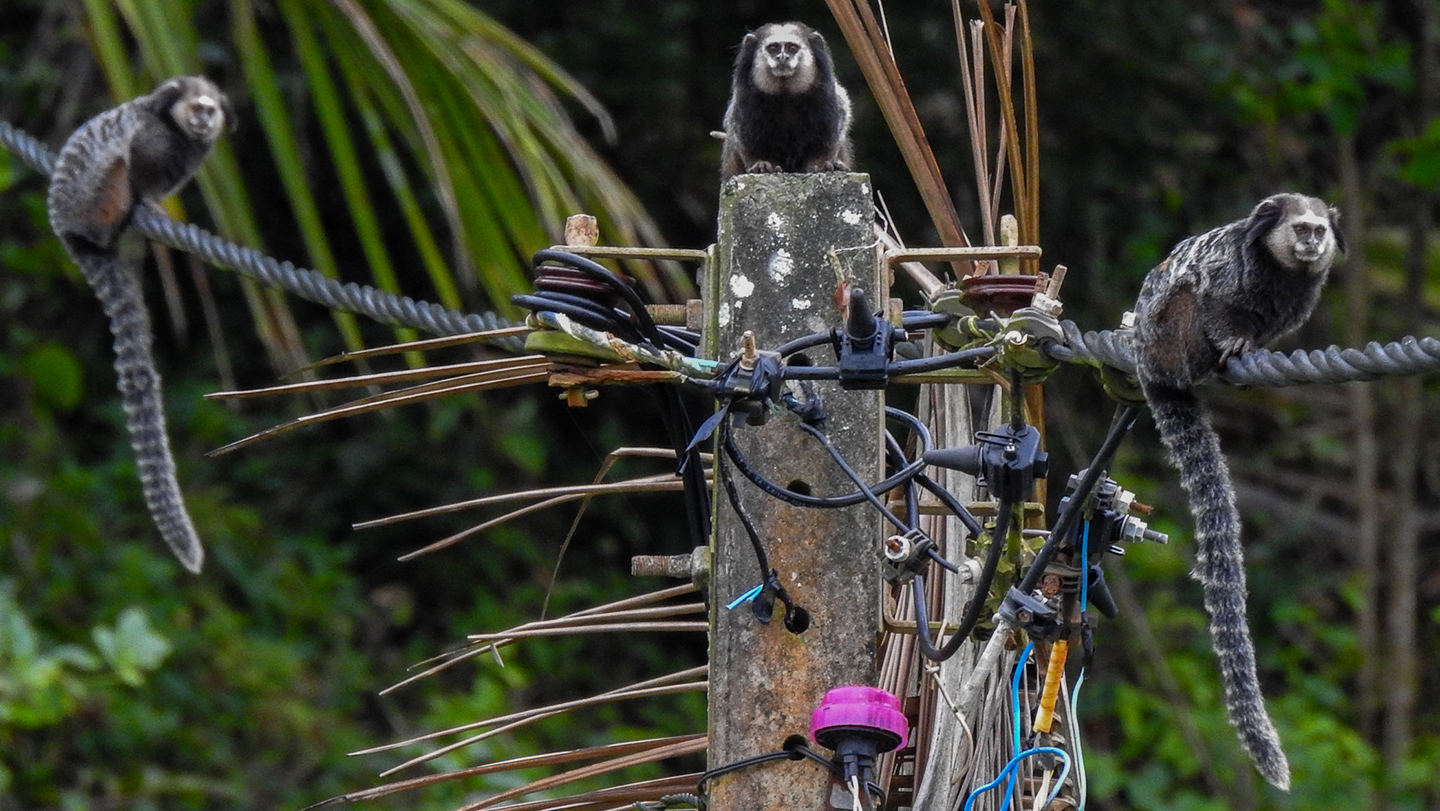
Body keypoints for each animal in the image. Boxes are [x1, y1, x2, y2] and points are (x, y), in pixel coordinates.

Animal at [46, 76, 233, 574]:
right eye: (196, 109)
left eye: (211, 110)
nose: (203, 121)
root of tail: (71, 235)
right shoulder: (152, 138)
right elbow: (138, 158)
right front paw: (149, 200)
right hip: (93, 202)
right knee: (115, 170)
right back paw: (126, 215)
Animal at [720, 22, 853, 182]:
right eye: (773, 48)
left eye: (792, 48)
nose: (782, 57)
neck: (785, 96)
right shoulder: (745, 101)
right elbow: (745, 140)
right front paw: (762, 164)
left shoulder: (828, 100)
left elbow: (829, 138)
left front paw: (823, 165)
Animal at [1131, 192, 1344, 791]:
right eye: (1300, 229)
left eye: (1319, 231)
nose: (1312, 244)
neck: (1280, 273)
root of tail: (1148, 363)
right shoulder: (1226, 277)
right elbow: (1213, 301)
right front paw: (1235, 342)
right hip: (1168, 335)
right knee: (1184, 304)